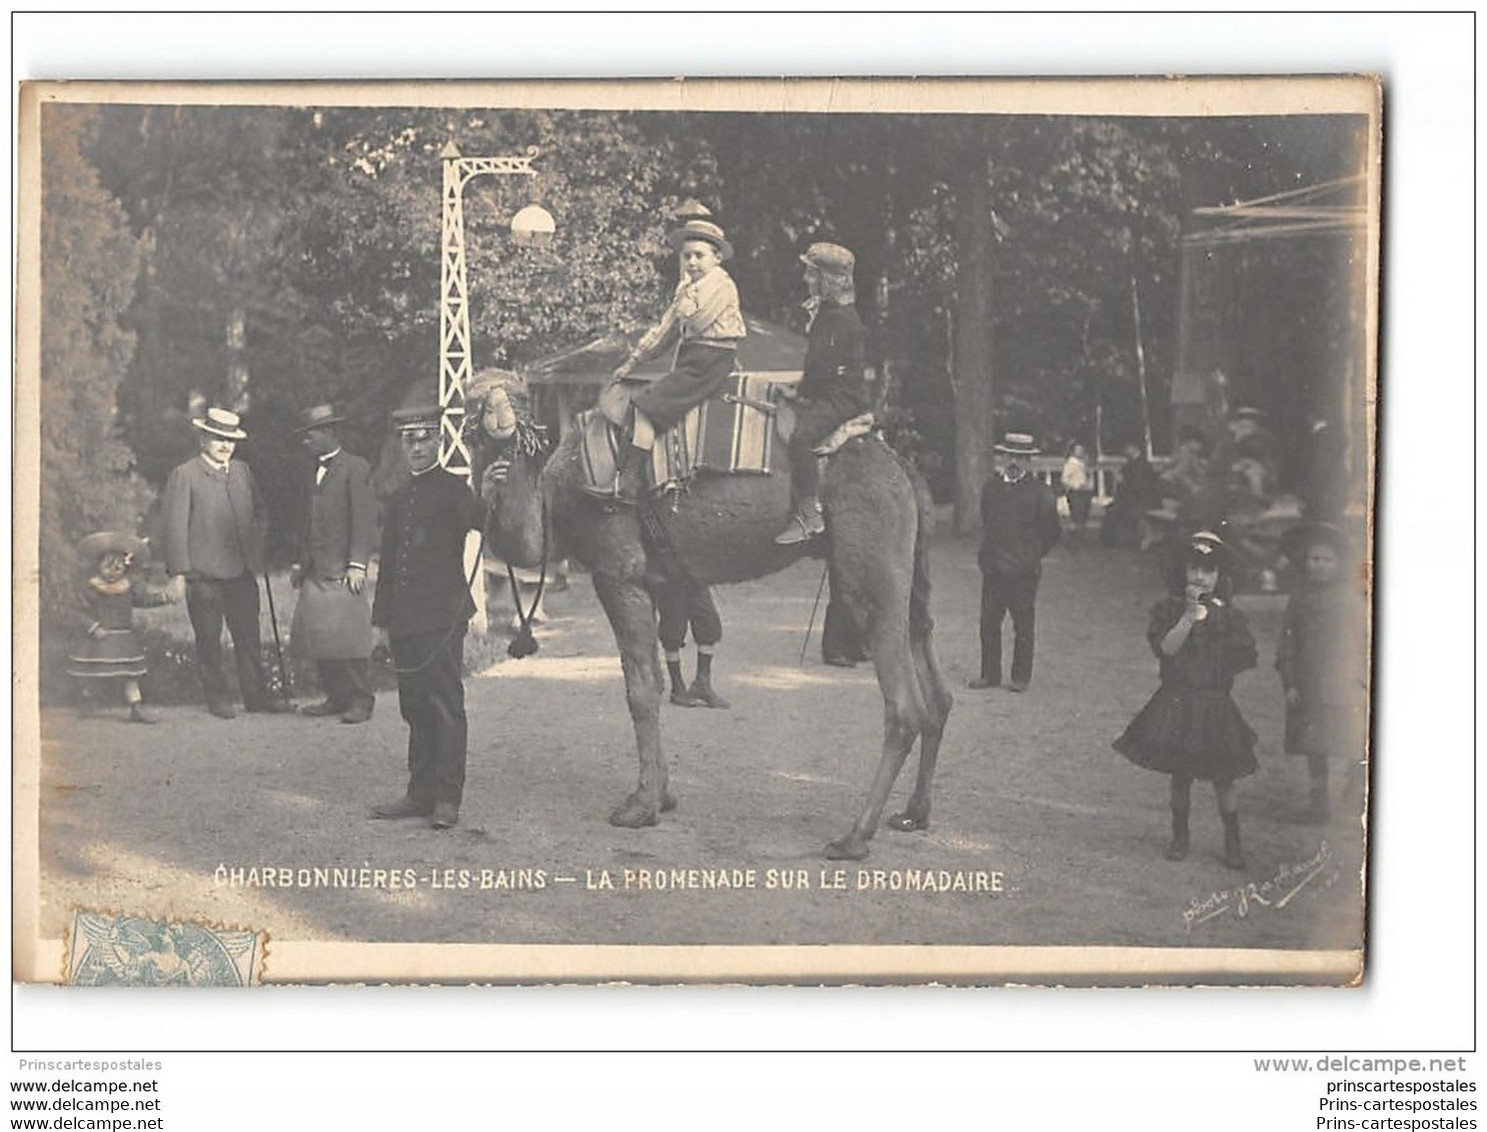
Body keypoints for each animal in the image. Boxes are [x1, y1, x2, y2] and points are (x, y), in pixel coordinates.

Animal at [469, 379, 951, 856]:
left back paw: (854, 837)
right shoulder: (657, 581)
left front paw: (641, 807)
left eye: (494, 396)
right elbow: (653, 680)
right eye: (477, 399)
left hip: (871, 568)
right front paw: (662, 794)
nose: (494, 411)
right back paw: (913, 814)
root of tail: (903, 469)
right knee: (936, 686)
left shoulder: (617, 570)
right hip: (911, 576)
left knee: (903, 705)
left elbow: (639, 691)